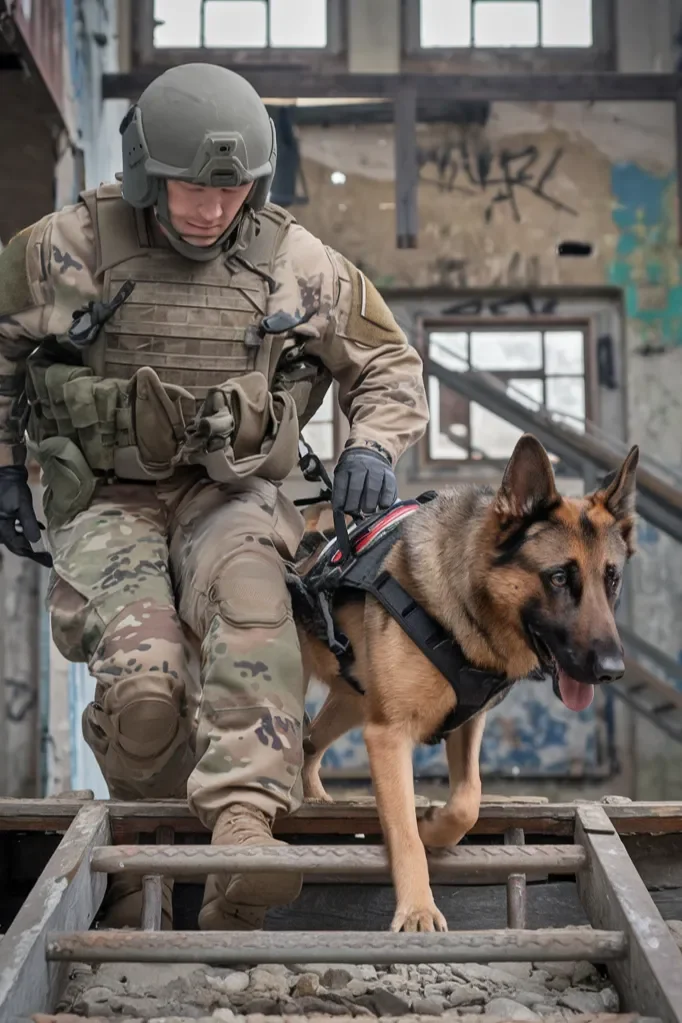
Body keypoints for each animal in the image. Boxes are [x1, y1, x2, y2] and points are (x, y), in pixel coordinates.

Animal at [294, 435, 642, 932]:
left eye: (611, 579)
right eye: (558, 577)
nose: (612, 669)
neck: (459, 607)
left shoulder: (465, 725)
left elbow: (468, 800)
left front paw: (435, 827)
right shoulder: (387, 736)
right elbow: (404, 834)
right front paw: (417, 909)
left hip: (350, 705)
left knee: (309, 744)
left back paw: (318, 798)